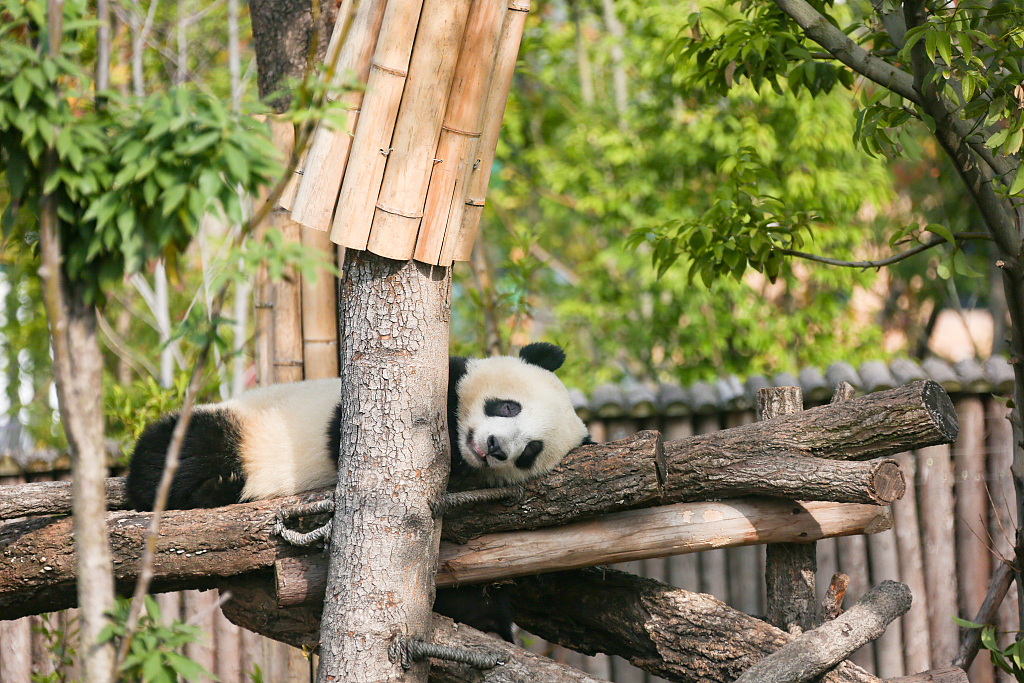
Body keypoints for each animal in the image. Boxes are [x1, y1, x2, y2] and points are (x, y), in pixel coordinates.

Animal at [125, 344, 593, 643]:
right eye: (508, 406)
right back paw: (206, 486)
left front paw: (490, 623)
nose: (495, 447)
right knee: (179, 448)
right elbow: (351, 431)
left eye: (531, 451)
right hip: (244, 424)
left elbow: (468, 595)